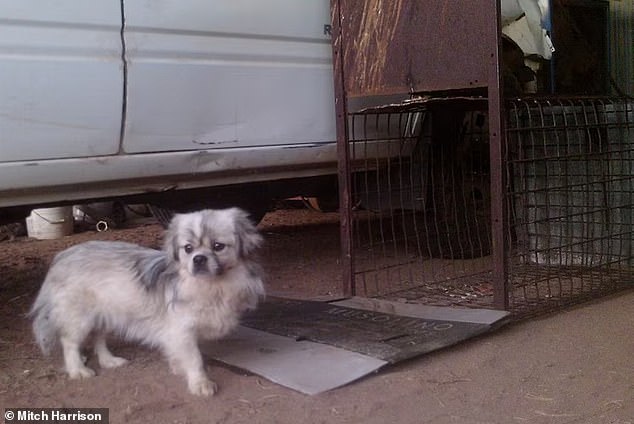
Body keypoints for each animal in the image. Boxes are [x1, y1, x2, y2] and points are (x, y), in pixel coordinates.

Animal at [29, 207, 264, 396]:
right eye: (188, 249)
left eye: (218, 246)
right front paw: (200, 383)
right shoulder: (182, 330)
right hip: (81, 318)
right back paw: (78, 370)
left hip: (106, 313)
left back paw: (109, 361)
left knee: (99, 338)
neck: (211, 286)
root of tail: (62, 256)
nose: (198, 259)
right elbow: (195, 359)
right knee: (69, 342)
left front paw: (178, 367)